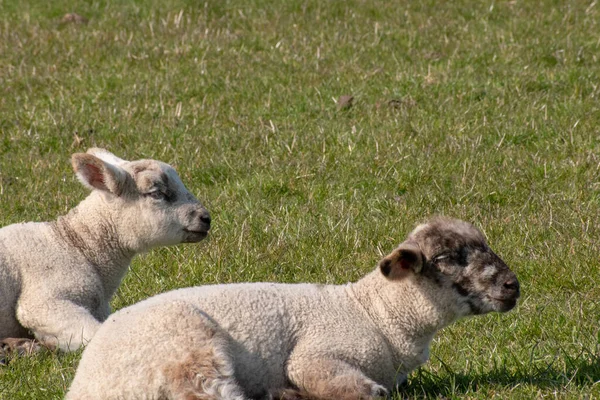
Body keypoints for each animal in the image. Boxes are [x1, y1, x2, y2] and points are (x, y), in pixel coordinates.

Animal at [67, 217, 520, 398]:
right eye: (447, 257)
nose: (512, 286)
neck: (377, 315)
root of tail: (86, 383)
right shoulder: (318, 354)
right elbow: (361, 390)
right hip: (188, 349)